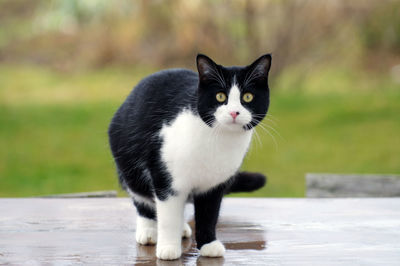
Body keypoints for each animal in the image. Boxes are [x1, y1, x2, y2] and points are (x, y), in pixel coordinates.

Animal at [108, 53, 272, 260]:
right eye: (220, 96)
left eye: (247, 97)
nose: (234, 112)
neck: (218, 141)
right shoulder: (166, 177)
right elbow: (167, 215)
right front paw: (168, 248)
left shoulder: (215, 184)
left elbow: (209, 214)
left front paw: (208, 245)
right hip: (129, 161)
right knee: (143, 198)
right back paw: (149, 231)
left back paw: (182, 228)